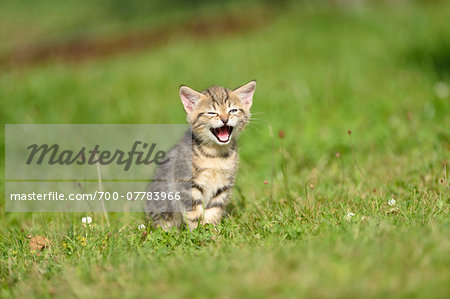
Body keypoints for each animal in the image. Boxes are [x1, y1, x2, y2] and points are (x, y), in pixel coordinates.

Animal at [146, 79, 255, 230]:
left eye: (232, 110)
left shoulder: (222, 186)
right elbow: (194, 212)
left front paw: (211, 229)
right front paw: (198, 231)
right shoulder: (186, 185)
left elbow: (213, 210)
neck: (215, 155)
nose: (225, 119)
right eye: (212, 112)